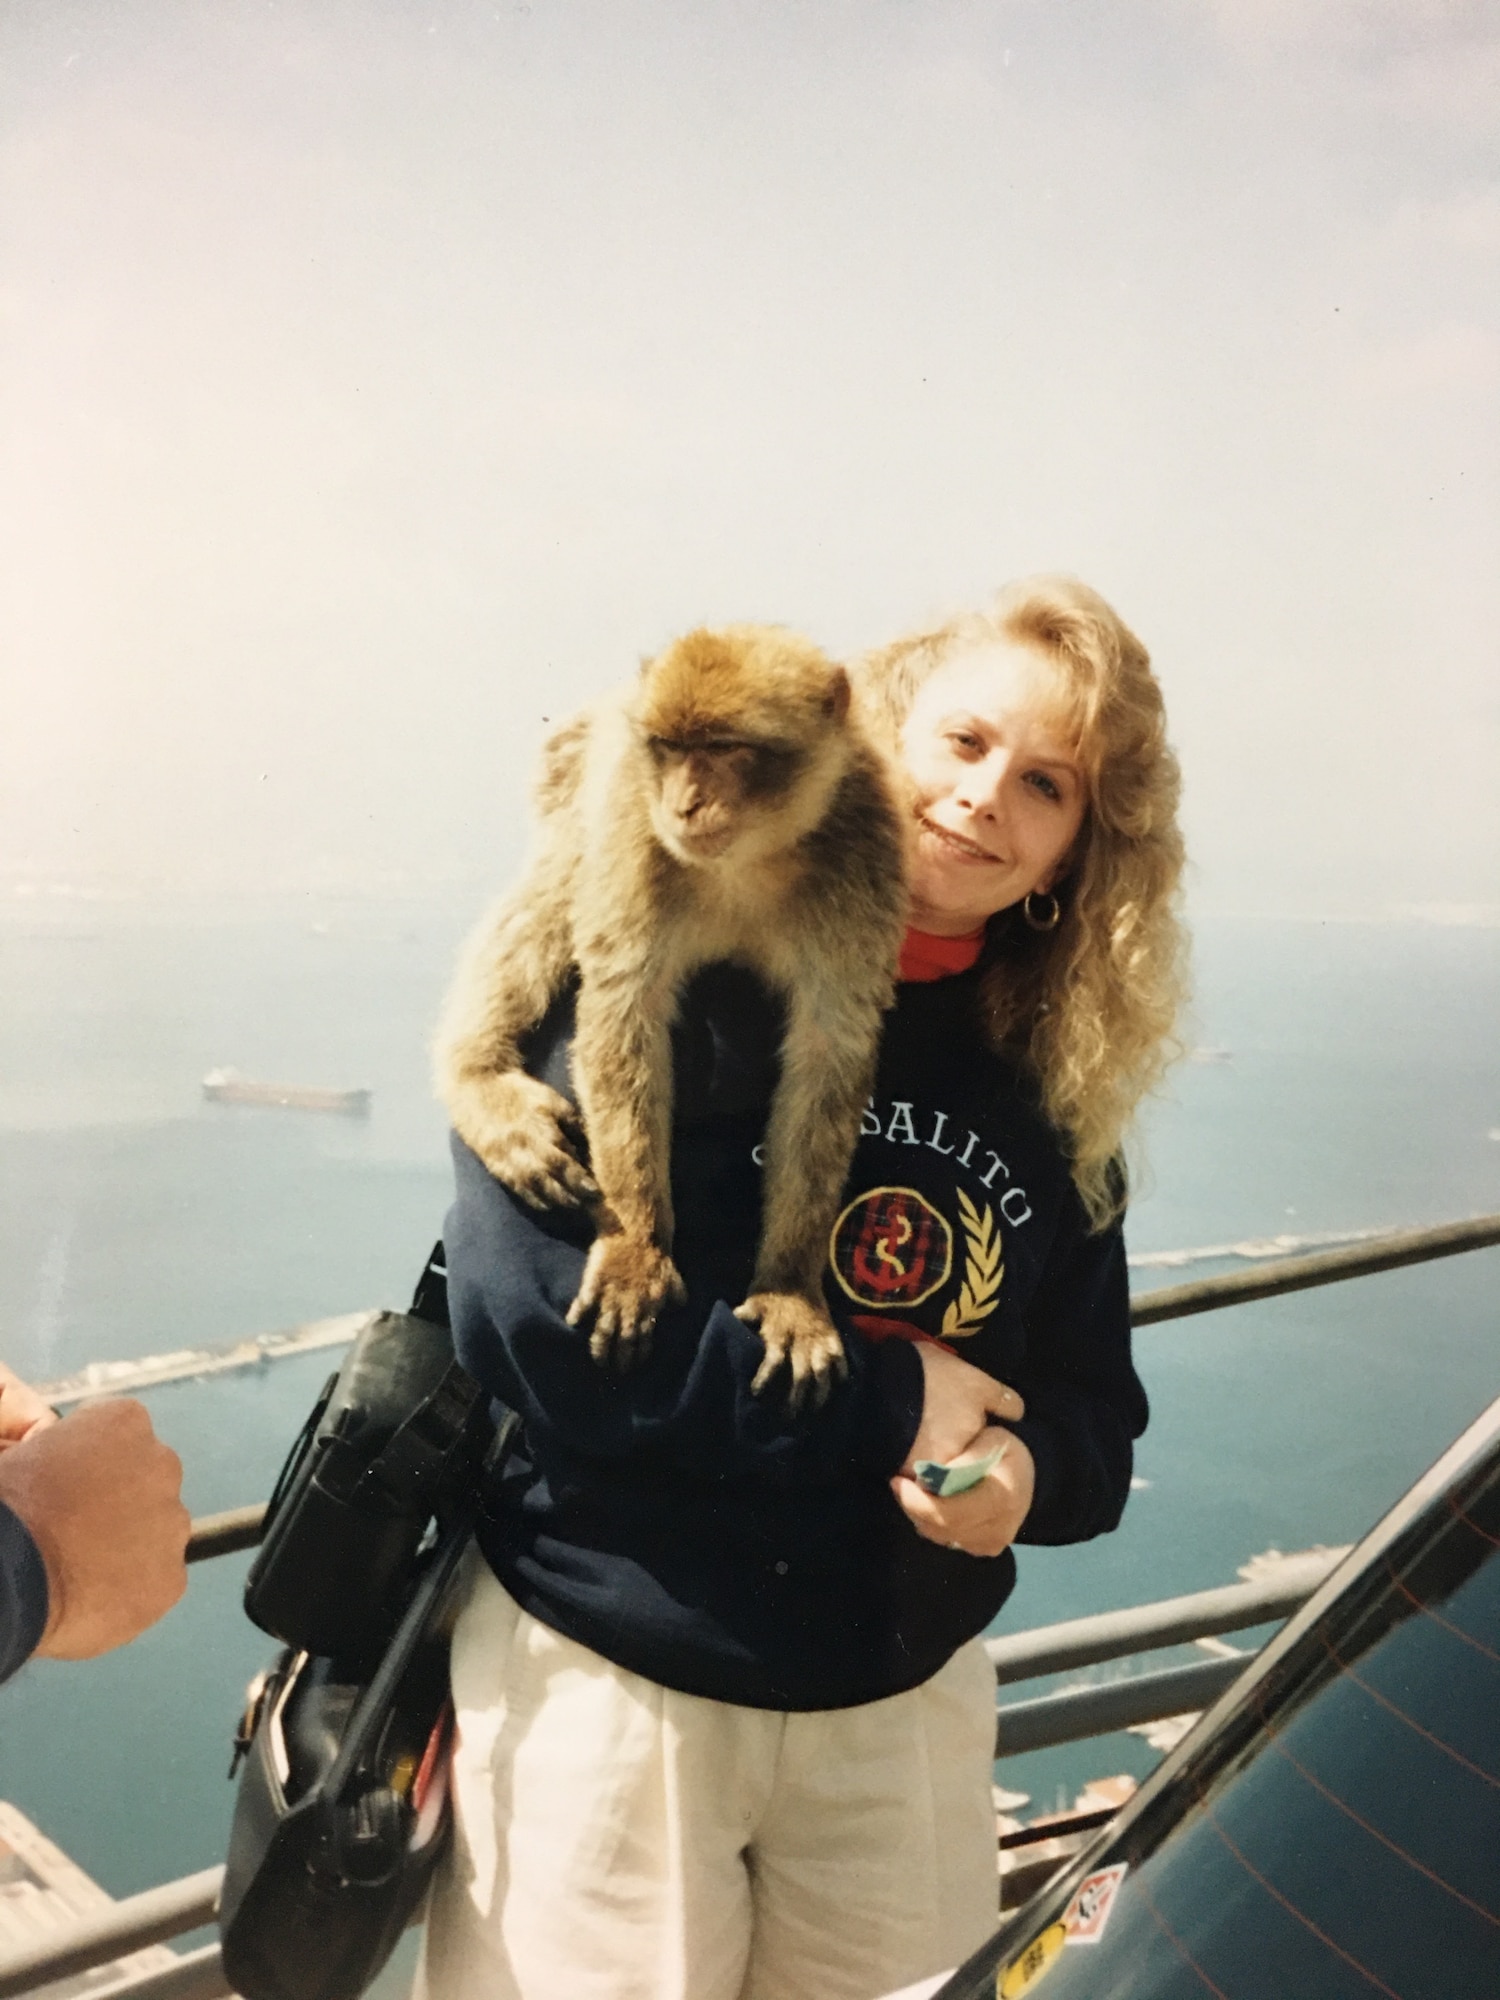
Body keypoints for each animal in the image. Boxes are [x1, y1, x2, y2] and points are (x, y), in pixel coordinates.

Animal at [434, 624, 904, 1408]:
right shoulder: (634, 830)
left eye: (725, 749)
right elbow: (625, 1012)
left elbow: (828, 1053)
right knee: (557, 885)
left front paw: (791, 1292)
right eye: (670, 748)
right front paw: (637, 1248)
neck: (748, 860)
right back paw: (476, 1076)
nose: (684, 804)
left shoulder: (862, 861)